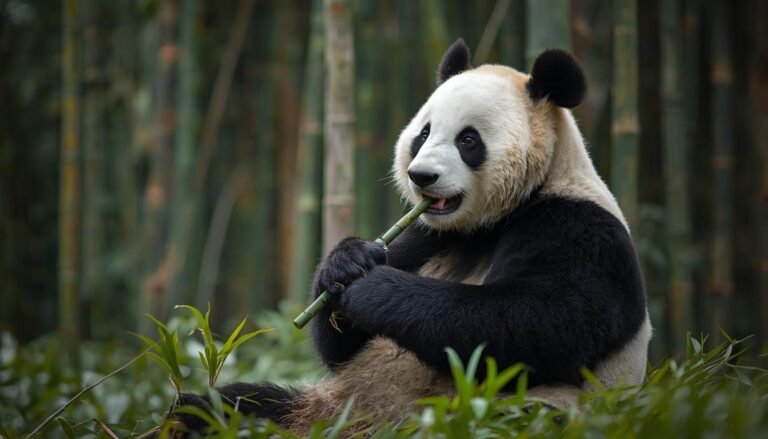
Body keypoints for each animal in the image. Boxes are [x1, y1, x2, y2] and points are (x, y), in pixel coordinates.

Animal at [174, 39, 651, 434]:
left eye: (468, 140)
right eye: (424, 133)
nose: (420, 176)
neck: (498, 217)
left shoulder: (579, 229)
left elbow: (542, 322)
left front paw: (373, 289)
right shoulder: (426, 234)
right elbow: (341, 348)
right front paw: (347, 264)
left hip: (509, 413)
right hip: (320, 406)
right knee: (235, 406)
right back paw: (190, 415)